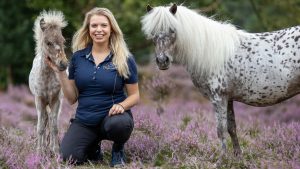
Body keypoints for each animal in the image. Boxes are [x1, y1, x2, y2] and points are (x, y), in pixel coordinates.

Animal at [29, 10, 68, 154]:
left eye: (63, 40)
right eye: (48, 42)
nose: (63, 64)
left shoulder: (56, 100)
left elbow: (54, 126)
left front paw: (55, 151)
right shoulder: (39, 100)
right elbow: (40, 126)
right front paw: (39, 152)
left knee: (51, 120)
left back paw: (50, 146)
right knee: (45, 119)